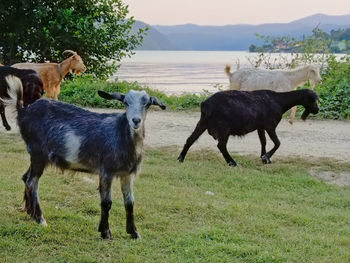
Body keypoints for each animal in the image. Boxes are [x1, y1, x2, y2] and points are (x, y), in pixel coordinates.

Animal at [4, 77, 165, 240]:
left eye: (147, 103)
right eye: (126, 102)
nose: (136, 120)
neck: (121, 137)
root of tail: (23, 111)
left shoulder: (127, 174)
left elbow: (129, 202)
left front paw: (134, 232)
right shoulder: (106, 171)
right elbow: (106, 202)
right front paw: (105, 232)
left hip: (37, 156)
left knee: (25, 177)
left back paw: (30, 213)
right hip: (38, 153)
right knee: (32, 182)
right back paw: (40, 219)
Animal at [179, 89, 318, 166]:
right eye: (312, 100)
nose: (317, 110)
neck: (279, 101)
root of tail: (205, 104)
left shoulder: (260, 127)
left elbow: (263, 141)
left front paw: (264, 157)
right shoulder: (270, 125)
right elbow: (277, 143)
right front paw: (266, 157)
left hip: (202, 123)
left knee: (190, 139)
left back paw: (180, 158)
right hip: (223, 127)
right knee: (221, 145)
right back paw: (232, 162)